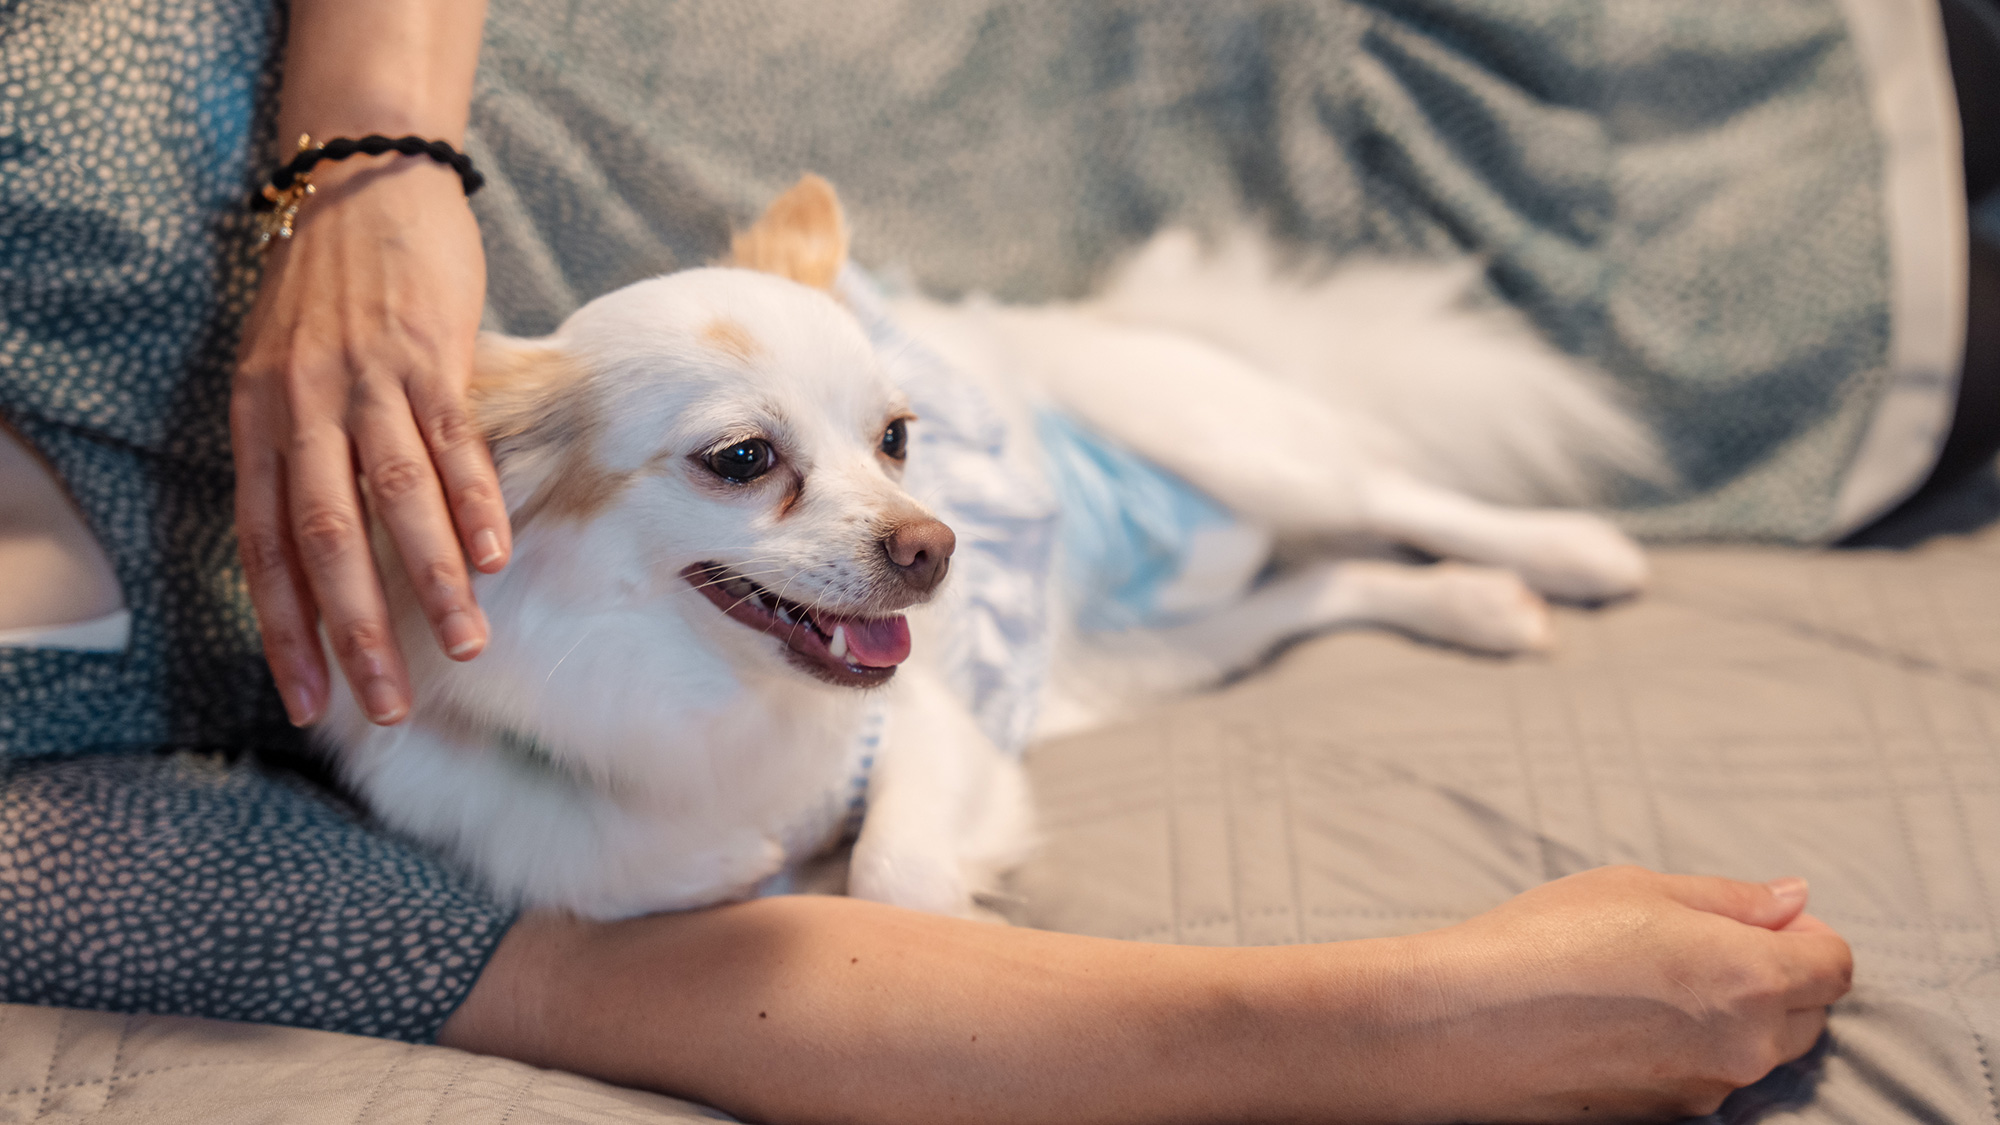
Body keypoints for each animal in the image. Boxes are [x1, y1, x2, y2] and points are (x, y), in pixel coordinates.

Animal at [316, 173, 1656, 912]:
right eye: (741, 461)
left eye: (896, 437)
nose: (936, 547)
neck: (703, 700)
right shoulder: (514, 816)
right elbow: (648, 867)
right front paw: (748, 854)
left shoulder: (923, 726)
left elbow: (892, 874)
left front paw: (946, 907)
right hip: (1152, 661)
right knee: (1319, 581)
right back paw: (1474, 606)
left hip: (1238, 441)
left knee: (1388, 489)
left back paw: (1568, 556)